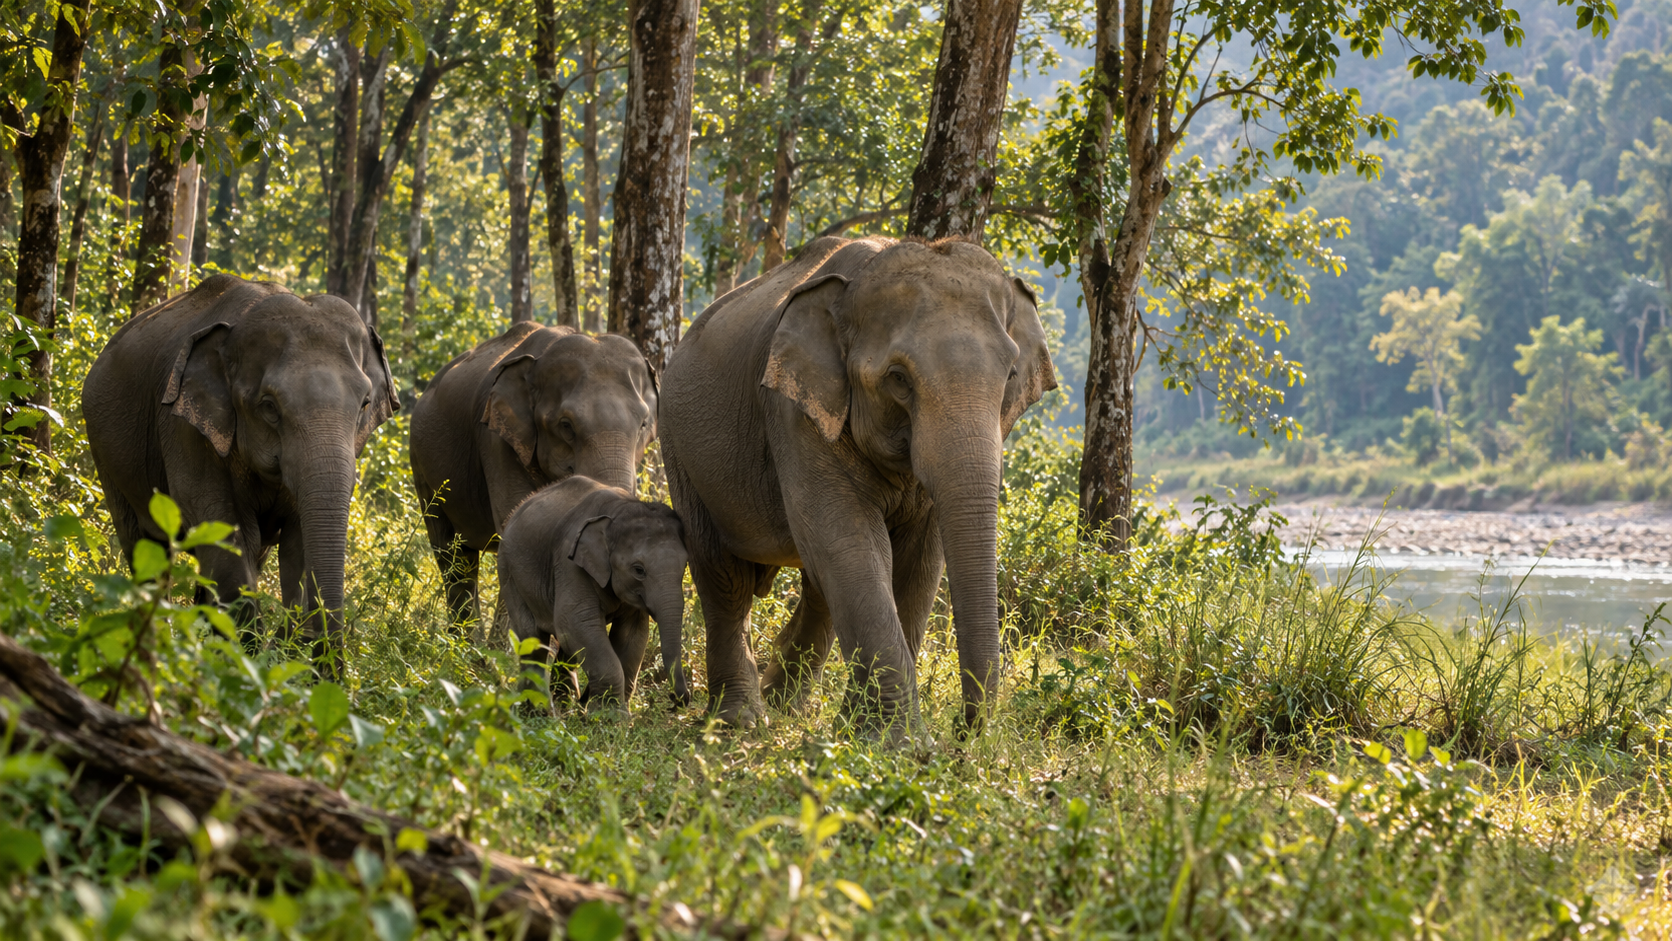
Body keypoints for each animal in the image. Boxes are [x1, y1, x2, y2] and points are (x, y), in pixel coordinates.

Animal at [81, 275, 399, 671]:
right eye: (269, 407)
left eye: (365, 404)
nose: (328, 676)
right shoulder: (183, 428)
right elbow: (223, 529)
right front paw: (247, 665)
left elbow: (297, 544)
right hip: (105, 454)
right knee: (144, 548)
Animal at [408, 323, 658, 626]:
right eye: (566, 425)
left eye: (643, 423)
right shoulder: (496, 442)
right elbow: (513, 522)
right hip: (420, 463)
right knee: (452, 556)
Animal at [498, 476, 689, 712]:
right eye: (639, 570)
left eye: (685, 566)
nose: (674, 700)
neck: (619, 510)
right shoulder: (569, 564)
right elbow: (575, 621)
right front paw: (609, 715)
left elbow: (632, 634)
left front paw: (611, 711)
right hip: (508, 571)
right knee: (532, 636)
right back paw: (540, 711)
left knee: (564, 644)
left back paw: (564, 704)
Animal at [659, 236, 1056, 740]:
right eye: (898, 378)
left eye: (1009, 376)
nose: (963, 733)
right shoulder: (794, 412)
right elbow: (849, 541)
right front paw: (903, 744)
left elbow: (918, 560)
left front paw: (860, 730)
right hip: (679, 447)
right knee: (723, 574)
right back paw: (742, 719)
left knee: (815, 584)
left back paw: (787, 706)